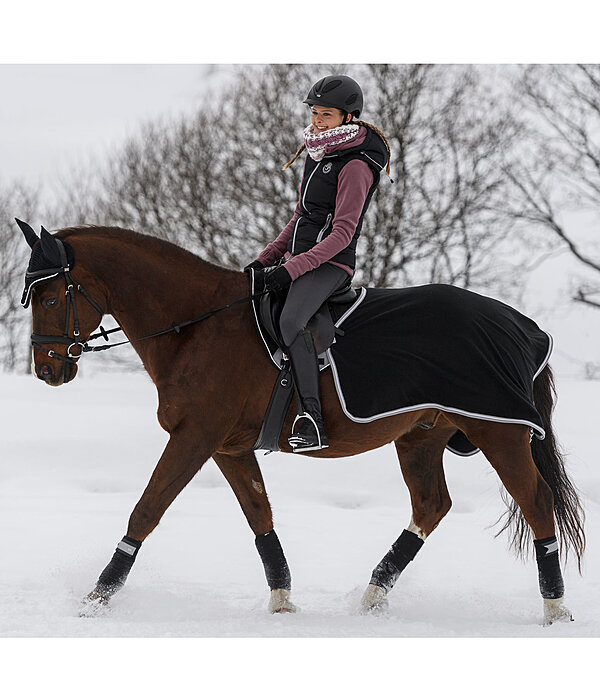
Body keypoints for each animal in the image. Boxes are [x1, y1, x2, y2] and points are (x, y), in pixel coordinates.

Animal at [19, 223, 584, 624]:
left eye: (49, 297)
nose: (47, 370)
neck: (198, 326)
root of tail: (523, 326)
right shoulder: (227, 447)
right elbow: (258, 514)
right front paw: (282, 598)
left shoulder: (195, 437)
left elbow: (147, 510)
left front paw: (98, 596)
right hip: (421, 438)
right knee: (431, 505)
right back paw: (373, 594)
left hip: (499, 433)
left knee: (536, 502)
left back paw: (556, 608)